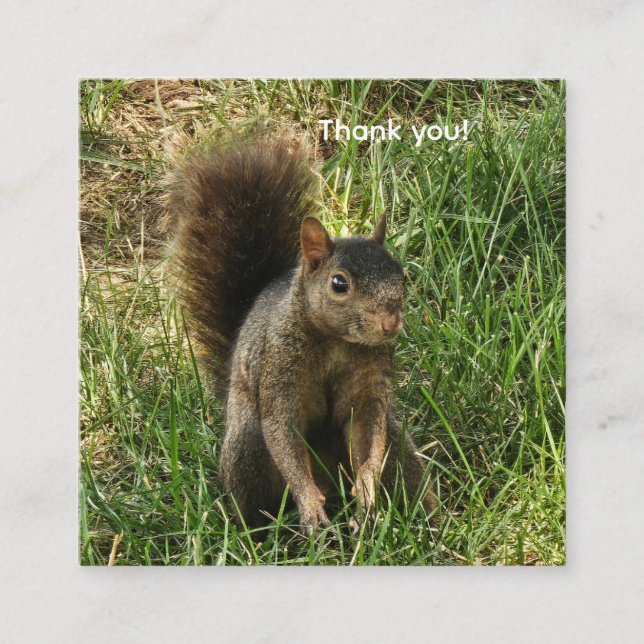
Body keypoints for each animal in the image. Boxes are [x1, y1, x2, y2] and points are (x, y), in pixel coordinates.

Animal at [165, 133, 436, 533]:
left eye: (402, 276)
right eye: (339, 284)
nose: (390, 324)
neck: (337, 341)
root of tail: (331, 479)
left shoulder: (369, 387)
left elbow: (368, 435)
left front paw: (367, 490)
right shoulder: (280, 373)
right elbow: (283, 432)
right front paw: (309, 503)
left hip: (400, 447)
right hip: (247, 446)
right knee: (252, 500)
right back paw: (253, 534)